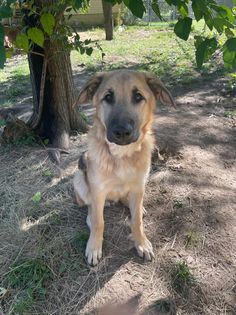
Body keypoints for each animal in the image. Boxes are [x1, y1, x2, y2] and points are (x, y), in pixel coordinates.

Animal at [74, 70, 175, 266]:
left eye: (138, 96)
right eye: (108, 97)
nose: (121, 131)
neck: (122, 155)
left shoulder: (138, 186)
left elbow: (137, 221)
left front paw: (141, 243)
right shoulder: (98, 191)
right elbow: (99, 222)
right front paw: (94, 247)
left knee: (129, 203)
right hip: (79, 178)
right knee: (90, 208)